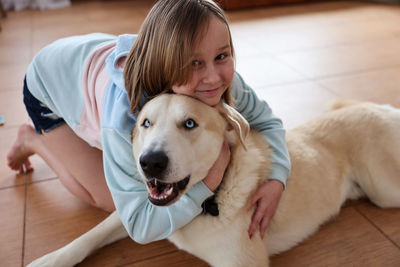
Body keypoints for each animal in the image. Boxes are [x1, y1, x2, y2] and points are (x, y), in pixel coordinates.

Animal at [28, 93, 400, 266]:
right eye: (146, 123)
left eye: (190, 124)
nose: (150, 162)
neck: (209, 198)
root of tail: (384, 108)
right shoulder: (139, 215)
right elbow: (89, 236)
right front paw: (50, 259)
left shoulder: (243, 261)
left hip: (384, 188)